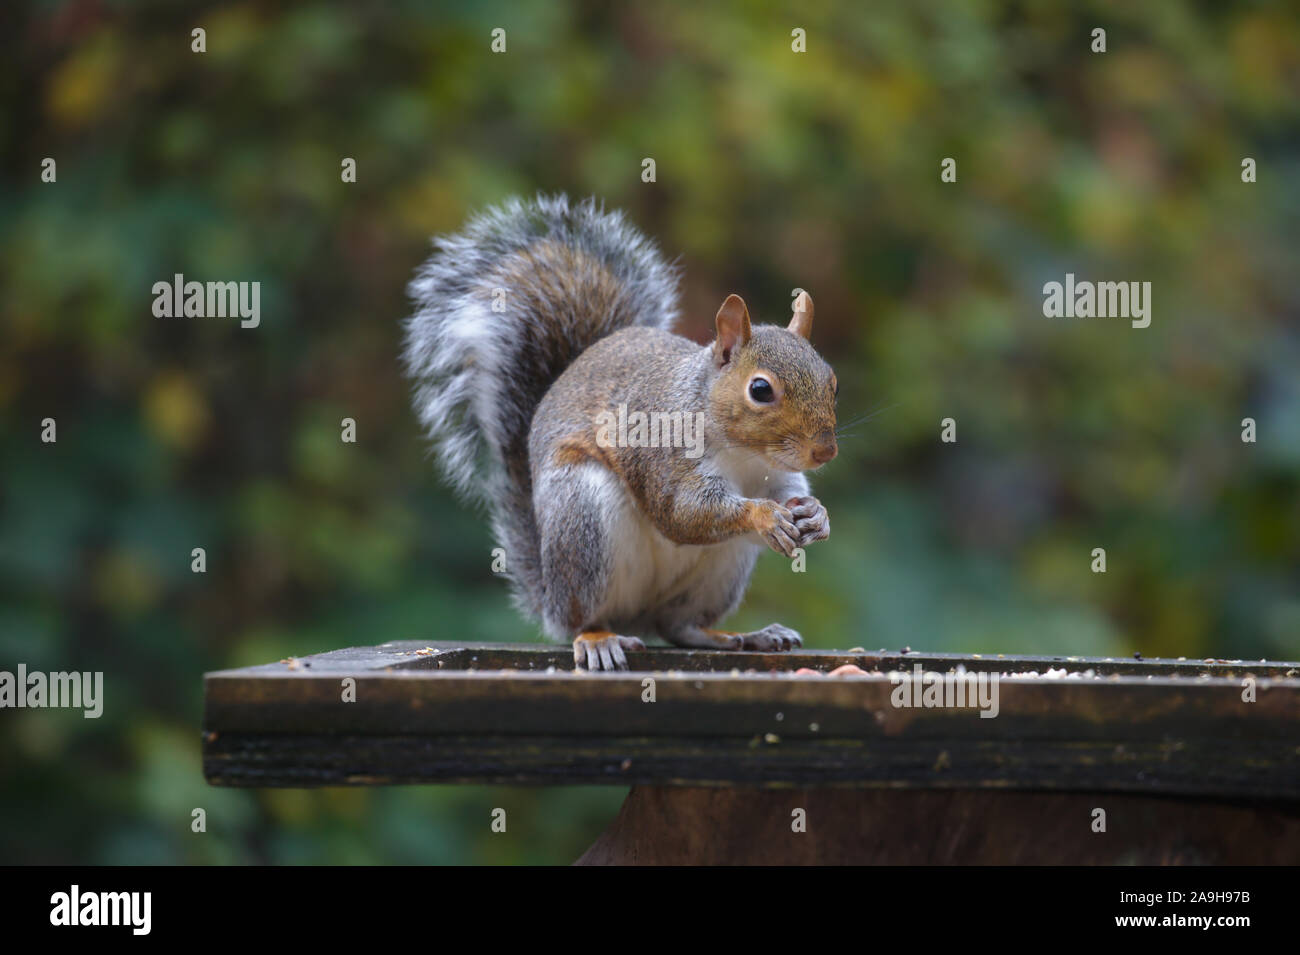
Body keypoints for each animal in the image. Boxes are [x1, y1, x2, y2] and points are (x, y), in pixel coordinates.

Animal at [400, 194, 837, 670]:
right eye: (760, 389)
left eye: (832, 380)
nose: (824, 453)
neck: (746, 455)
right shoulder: (665, 455)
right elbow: (683, 512)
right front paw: (764, 516)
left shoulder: (775, 475)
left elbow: (789, 492)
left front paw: (816, 514)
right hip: (582, 518)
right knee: (584, 616)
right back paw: (597, 639)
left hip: (723, 568)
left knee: (679, 626)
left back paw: (744, 635)